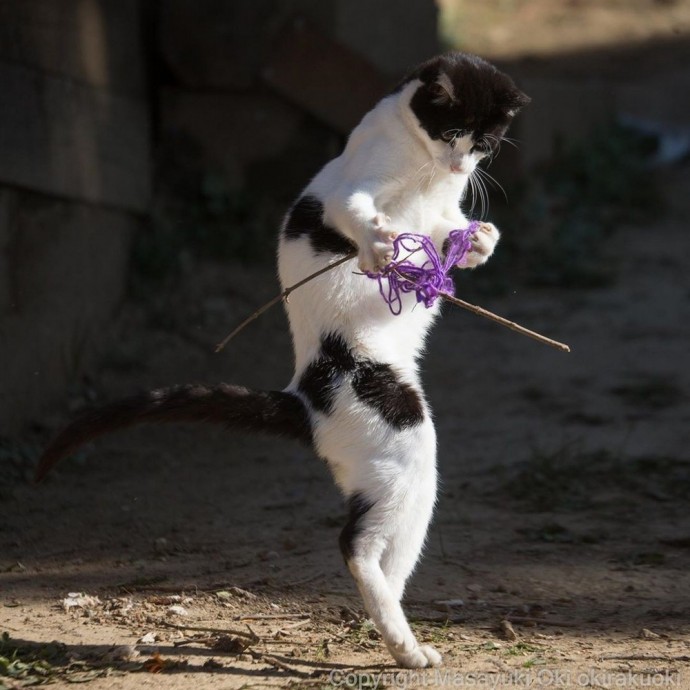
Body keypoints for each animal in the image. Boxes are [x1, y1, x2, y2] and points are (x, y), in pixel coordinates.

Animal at [35, 52, 529, 668]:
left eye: (484, 142)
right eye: (451, 130)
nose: (461, 161)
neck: (427, 170)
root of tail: (304, 394)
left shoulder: (441, 211)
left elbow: (449, 229)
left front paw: (479, 241)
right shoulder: (353, 186)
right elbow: (358, 211)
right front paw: (377, 246)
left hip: (404, 480)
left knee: (383, 553)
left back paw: (398, 638)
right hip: (404, 436)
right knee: (355, 544)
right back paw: (405, 644)